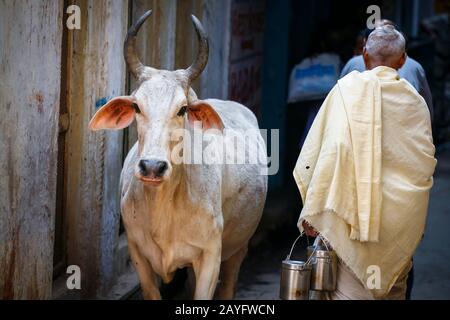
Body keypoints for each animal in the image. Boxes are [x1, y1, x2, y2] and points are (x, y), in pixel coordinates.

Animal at [88, 10, 268, 300]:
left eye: (182, 109)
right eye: (136, 106)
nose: (152, 166)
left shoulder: (211, 255)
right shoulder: (138, 254)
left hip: (239, 247)